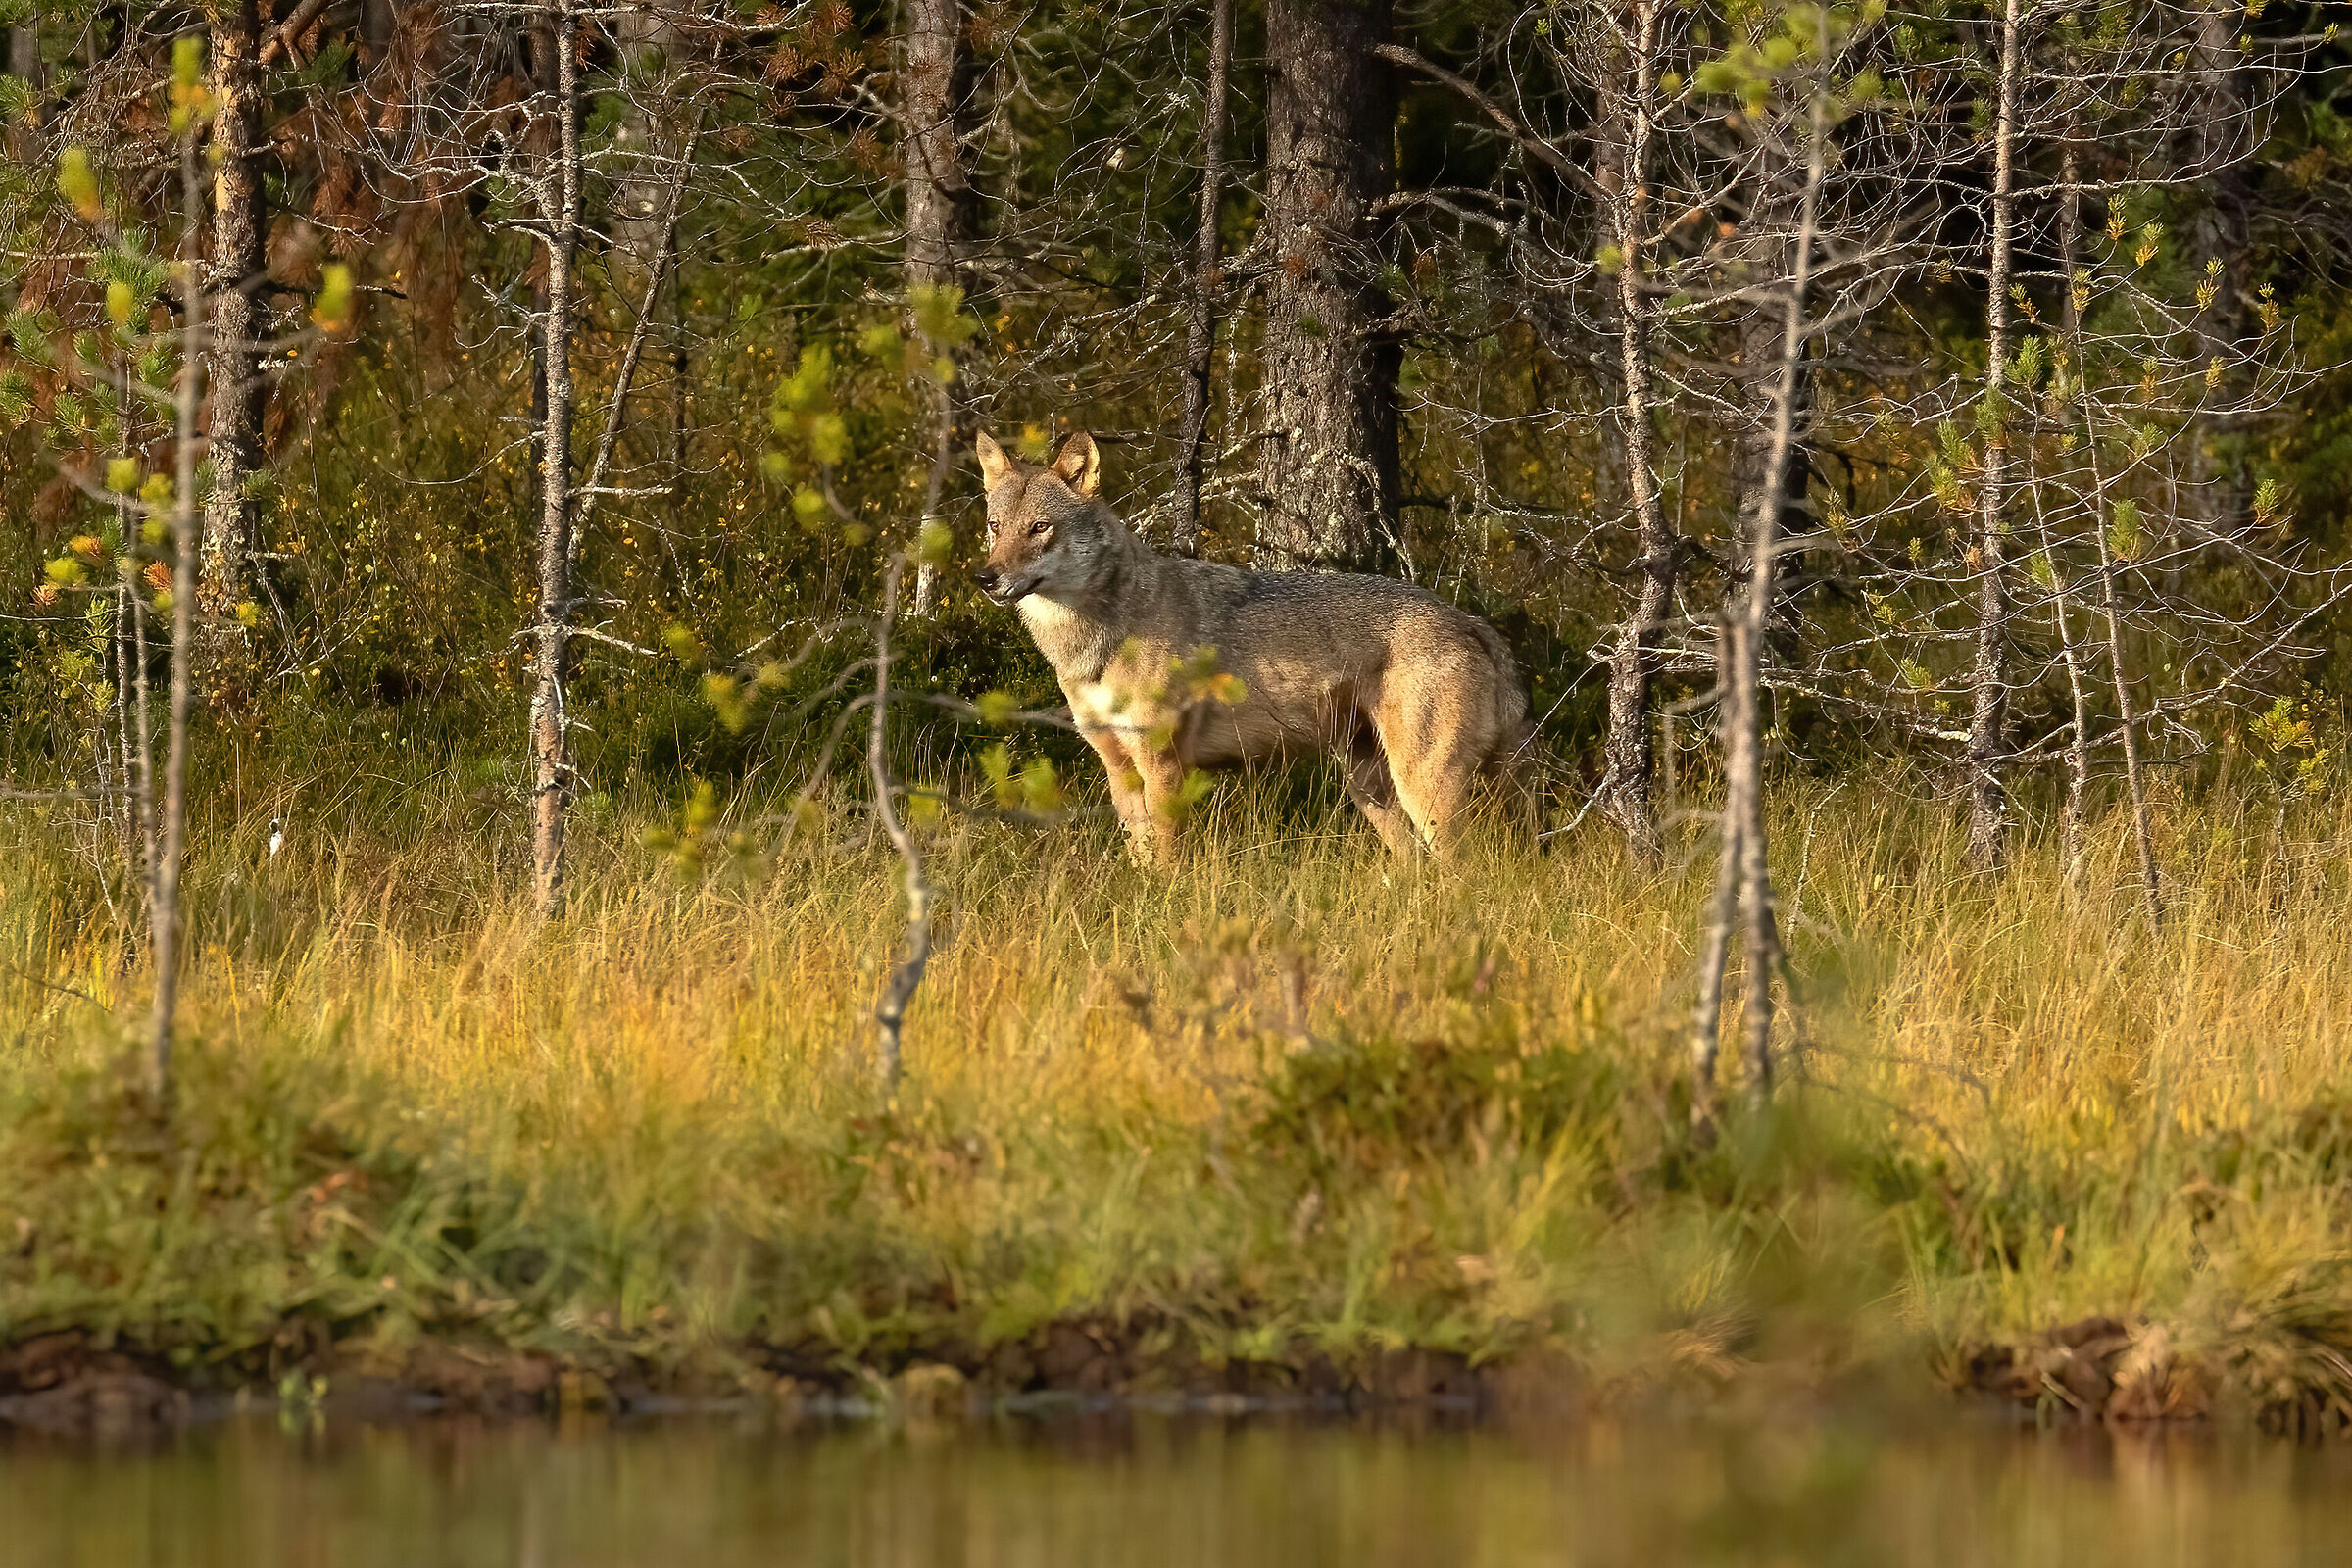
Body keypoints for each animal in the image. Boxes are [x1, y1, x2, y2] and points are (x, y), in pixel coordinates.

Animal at [971, 429, 1533, 863]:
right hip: (1370, 786)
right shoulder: (1119, 767)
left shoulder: (1163, 765)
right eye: (995, 528)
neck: (1096, 641)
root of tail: (1470, 621)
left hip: (1422, 787)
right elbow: (1140, 856)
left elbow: (1166, 861)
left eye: (1039, 528)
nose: (985, 577)